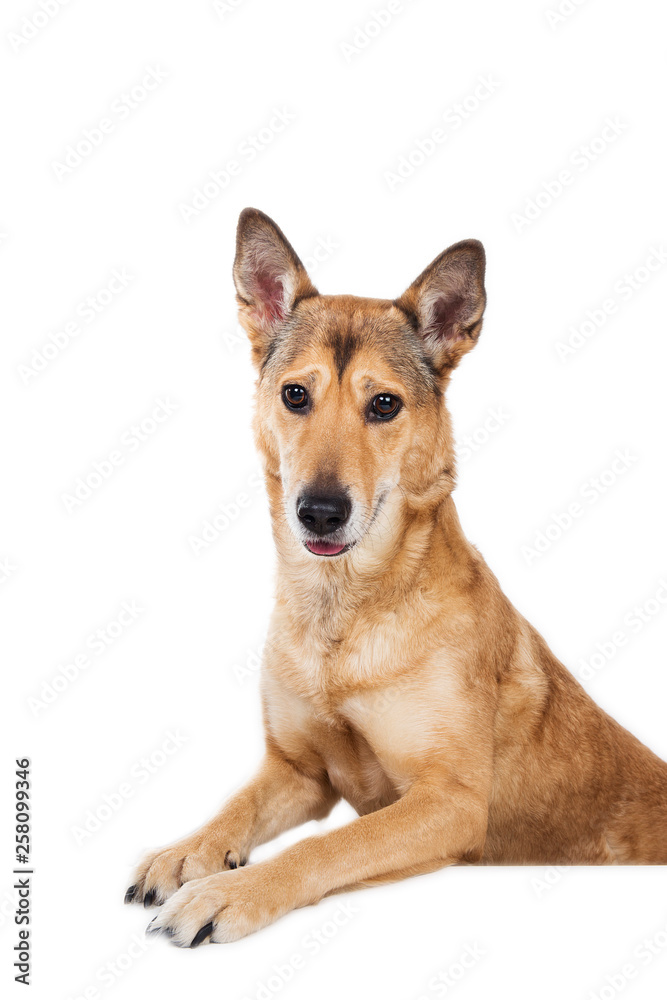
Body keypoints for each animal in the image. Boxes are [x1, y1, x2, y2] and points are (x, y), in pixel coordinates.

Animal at [125, 209, 667, 944]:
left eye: (383, 405)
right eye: (295, 394)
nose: (320, 511)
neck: (344, 612)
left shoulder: (450, 803)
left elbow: (330, 845)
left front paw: (229, 892)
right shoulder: (299, 771)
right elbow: (236, 804)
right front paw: (188, 852)